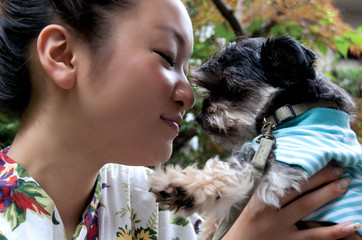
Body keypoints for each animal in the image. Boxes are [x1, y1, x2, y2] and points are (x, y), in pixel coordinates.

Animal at [148, 36, 362, 240]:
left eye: (230, 88)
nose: (200, 117)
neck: (292, 108)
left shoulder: (283, 167)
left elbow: (229, 170)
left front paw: (181, 185)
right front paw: (210, 227)